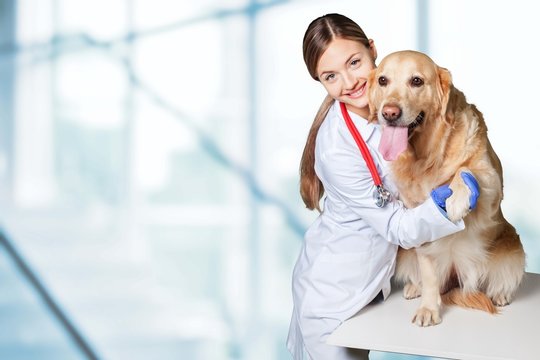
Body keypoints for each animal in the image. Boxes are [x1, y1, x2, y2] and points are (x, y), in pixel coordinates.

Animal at [368, 50, 524, 326]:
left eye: (416, 81)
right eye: (383, 80)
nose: (389, 113)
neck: (428, 156)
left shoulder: (492, 181)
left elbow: (464, 171)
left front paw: (456, 200)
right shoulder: (418, 228)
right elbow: (429, 272)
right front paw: (429, 309)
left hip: (512, 248)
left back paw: (500, 294)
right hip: (405, 252)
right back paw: (415, 288)